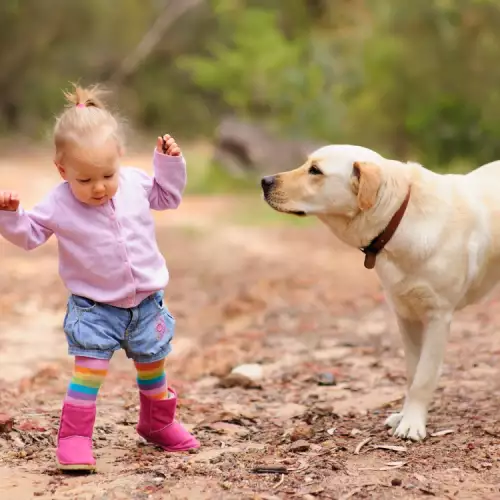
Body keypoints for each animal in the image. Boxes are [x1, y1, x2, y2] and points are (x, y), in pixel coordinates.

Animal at [260, 145, 500, 442]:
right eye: (307, 164)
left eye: (315, 171)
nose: (264, 181)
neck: (400, 217)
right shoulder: (406, 314)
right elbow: (412, 372)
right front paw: (405, 415)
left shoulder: (438, 317)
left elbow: (423, 377)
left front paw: (412, 424)